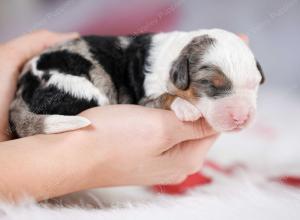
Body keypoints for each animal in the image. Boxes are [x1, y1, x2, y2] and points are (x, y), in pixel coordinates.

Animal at [8, 28, 264, 137]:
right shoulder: (145, 96)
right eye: (210, 84)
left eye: (255, 85)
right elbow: (166, 96)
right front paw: (187, 108)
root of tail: (22, 89)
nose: (241, 118)